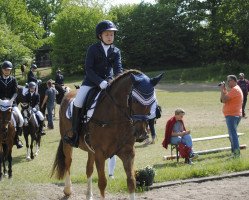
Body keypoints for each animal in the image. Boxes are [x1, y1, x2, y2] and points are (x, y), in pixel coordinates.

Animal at [51, 70, 163, 200]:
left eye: (152, 102)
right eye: (135, 101)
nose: (141, 134)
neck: (115, 116)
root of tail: (68, 94)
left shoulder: (128, 152)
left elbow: (131, 181)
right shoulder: (100, 154)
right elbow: (102, 183)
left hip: (91, 150)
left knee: (89, 169)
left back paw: (89, 195)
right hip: (67, 143)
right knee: (68, 162)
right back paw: (68, 190)